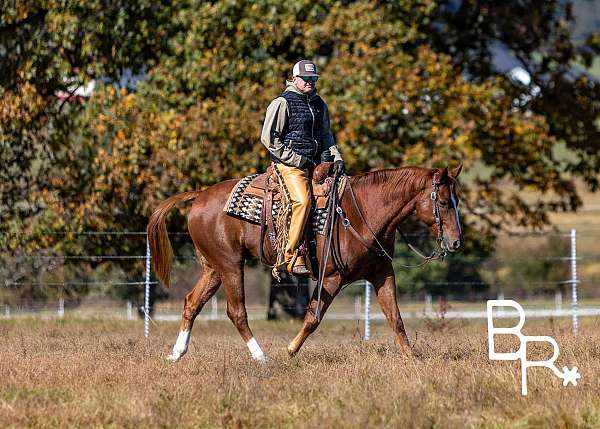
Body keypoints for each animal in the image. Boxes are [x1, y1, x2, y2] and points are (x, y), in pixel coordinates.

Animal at [146, 164, 464, 362]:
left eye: (457, 200)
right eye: (443, 202)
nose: (456, 242)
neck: (360, 212)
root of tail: (200, 195)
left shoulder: (382, 273)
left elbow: (395, 317)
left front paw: (413, 358)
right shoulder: (332, 277)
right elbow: (313, 317)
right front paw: (289, 351)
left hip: (213, 268)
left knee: (192, 302)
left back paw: (176, 354)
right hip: (230, 265)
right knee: (236, 312)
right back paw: (260, 356)